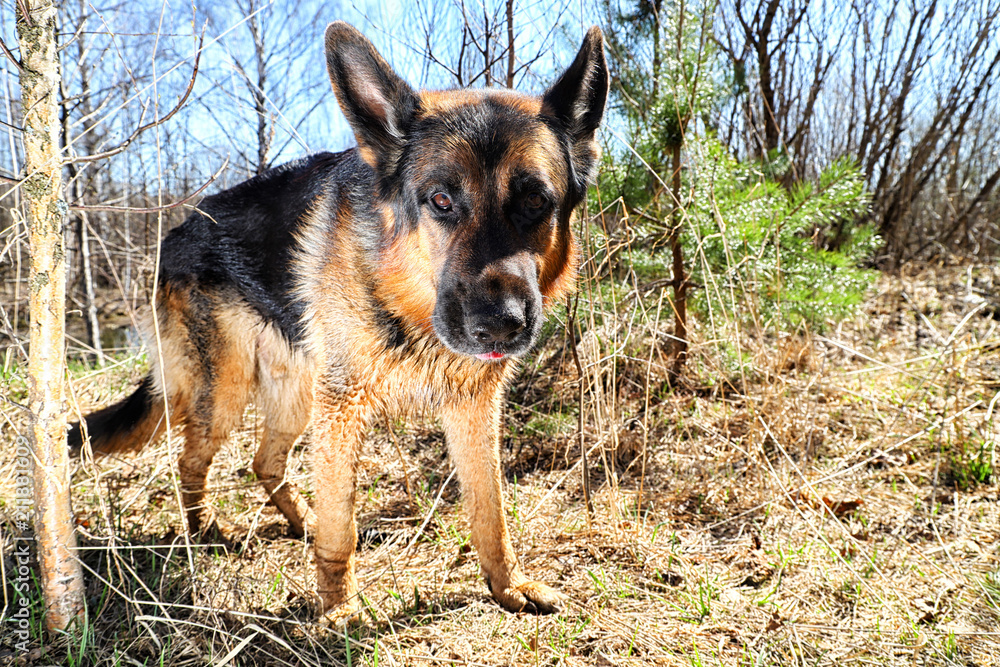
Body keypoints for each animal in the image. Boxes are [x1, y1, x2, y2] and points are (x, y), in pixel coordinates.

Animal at [72, 20, 608, 624]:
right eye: (441, 200)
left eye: (536, 201)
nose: (500, 325)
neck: (405, 301)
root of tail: (174, 233)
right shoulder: (343, 409)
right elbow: (342, 525)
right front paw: (338, 610)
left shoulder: (472, 408)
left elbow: (489, 510)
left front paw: (508, 584)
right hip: (230, 393)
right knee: (191, 460)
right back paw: (208, 531)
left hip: (299, 394)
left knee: (265, 462)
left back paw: (299, 522)